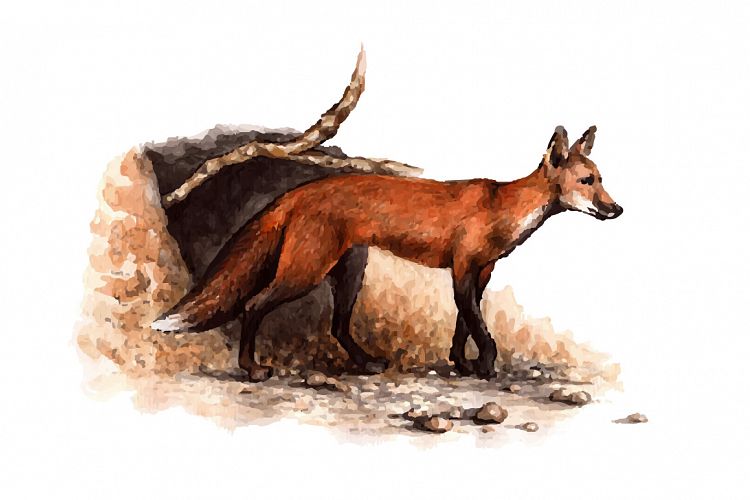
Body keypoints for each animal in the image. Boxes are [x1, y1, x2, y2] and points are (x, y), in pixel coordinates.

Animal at [152, 125, 623, 381]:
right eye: (587, 182)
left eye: (601, 179)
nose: (617, 209)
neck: (500, 208)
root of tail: (299, 192)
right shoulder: (462, 269)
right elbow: (480, 328)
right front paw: (487, 367)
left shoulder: (480, 272)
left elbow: (462, 326)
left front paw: (462, 364)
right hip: (305, 271)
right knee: (252, 305)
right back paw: (252, 369)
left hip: (349, 270)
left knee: (338, 326)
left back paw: (365, 363)